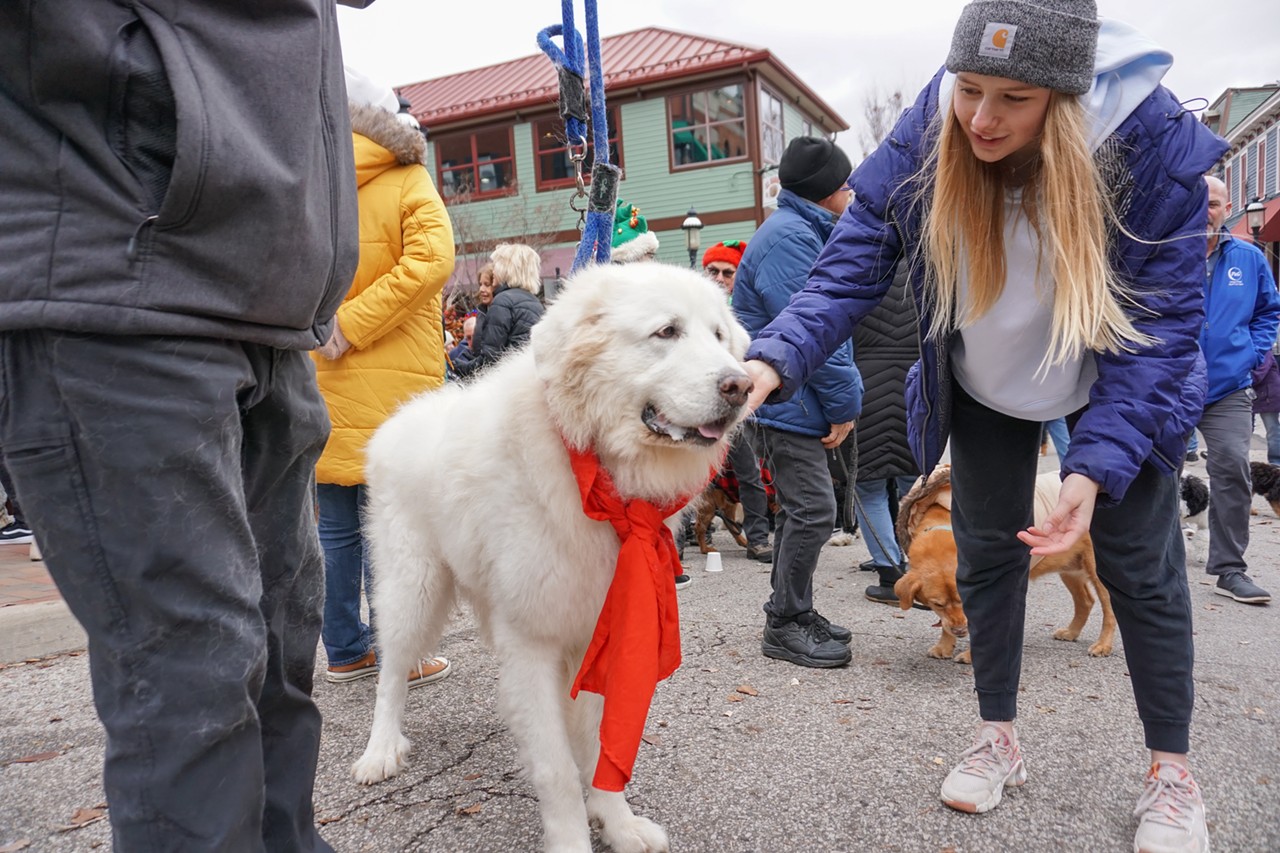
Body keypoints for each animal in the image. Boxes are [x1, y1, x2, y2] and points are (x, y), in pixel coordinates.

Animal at [350, 262, 747, 845]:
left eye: (719, 336)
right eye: (666, 332)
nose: (742, 385)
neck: (592, 468)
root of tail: (399, 418)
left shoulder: (598, 634)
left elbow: (599, 745)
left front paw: (617, 824)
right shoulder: (532, 641)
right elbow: (557, 766)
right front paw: (573, 840)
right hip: (412, 589)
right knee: (392, 674)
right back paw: (380, 751)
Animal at [896, 466, 1116, 655]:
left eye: (963, 600)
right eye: (937, 604)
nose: (959, 630)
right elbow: (946, 623)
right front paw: (945, 645)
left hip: (1097, 571)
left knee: (1109, 609)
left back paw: (1103, 644)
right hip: (1069, 567)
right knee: (1085, 601)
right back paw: (1071, 632)